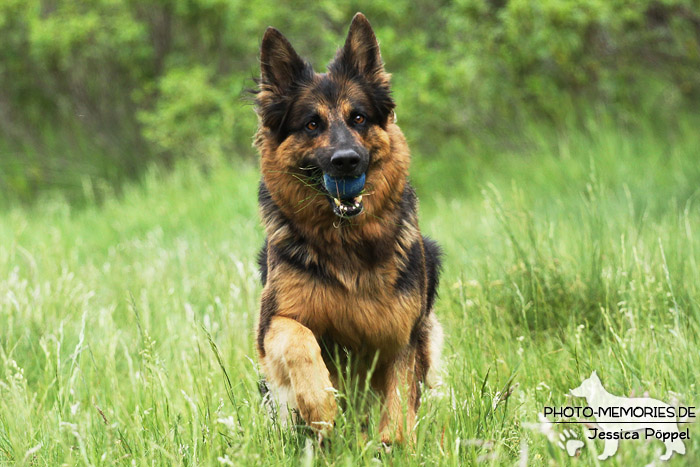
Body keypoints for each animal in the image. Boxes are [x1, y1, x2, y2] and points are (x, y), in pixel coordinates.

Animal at [253, 11, 442, 446]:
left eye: (358, 117)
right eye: (311, 124)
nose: (346, 161)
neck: (347, 242)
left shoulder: (402, 333)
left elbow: (399, 399)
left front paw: (393, 443)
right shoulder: (273, 324)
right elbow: (299, 340)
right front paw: (321, 406)